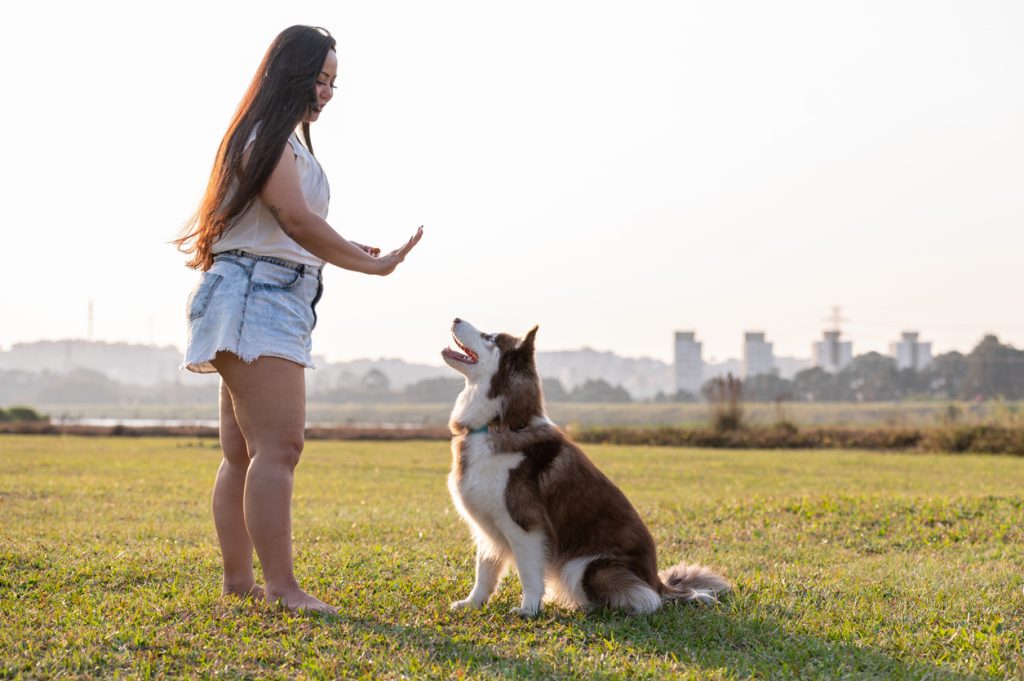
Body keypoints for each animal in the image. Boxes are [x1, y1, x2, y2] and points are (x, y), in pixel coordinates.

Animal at [442, 319, 729, 614]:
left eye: (490, 337)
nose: (455, 319)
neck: (500, 423)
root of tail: (658, 582)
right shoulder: (487, 527)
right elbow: (485, 572)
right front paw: (472, 603)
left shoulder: (525, 527)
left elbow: (529, 574)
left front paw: (528, 610)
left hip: (584, 566)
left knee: (646, 600)